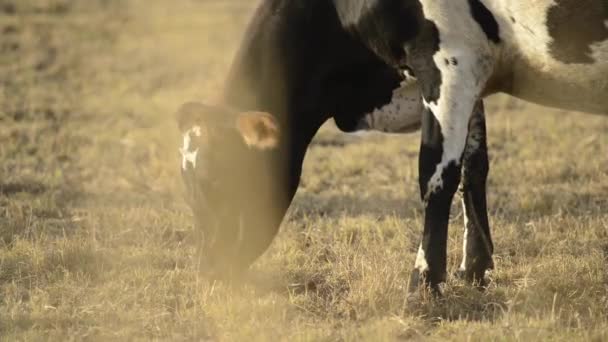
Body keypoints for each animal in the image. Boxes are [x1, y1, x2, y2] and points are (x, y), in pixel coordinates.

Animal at [176, 0, 604, 294]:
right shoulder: (474, 72)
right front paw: (474, 269)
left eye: (216, 180)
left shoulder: (451, 58)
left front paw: (422, 285)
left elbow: (436, 176)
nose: (206, 270)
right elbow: (473, 167)